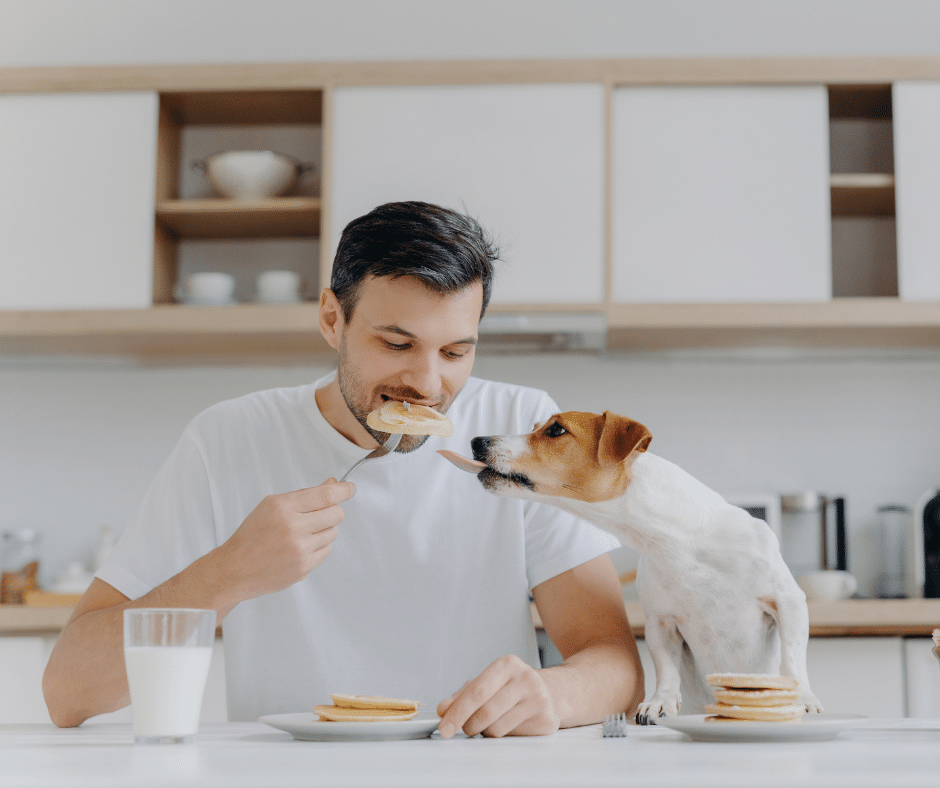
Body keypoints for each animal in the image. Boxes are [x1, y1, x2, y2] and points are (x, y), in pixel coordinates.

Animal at [436, 410, 820, 724]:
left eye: (556, 429)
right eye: (535, 427)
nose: (476, 440)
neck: (678, 542)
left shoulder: (788, 601)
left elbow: (793, 658)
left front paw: (803, 697)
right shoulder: (660, 621)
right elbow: (665, 669)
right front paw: (660, 702)